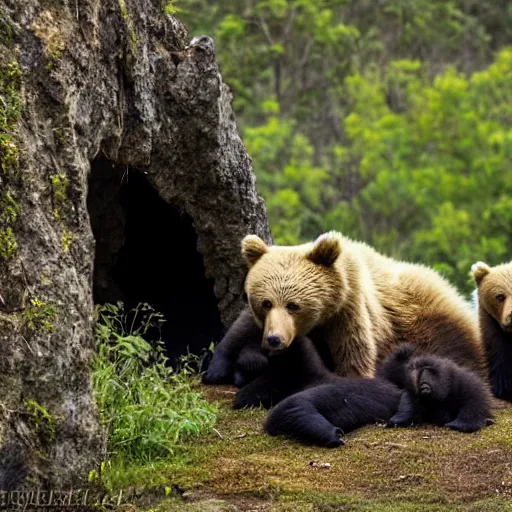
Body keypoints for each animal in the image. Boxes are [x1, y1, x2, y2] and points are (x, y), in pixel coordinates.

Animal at [204, 230, 488, 390]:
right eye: (266, 302)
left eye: (294, 305)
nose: (275, 339)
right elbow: (239, 331)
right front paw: (218, 368)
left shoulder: (349, 311)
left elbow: (354, 358)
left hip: (429, 321)